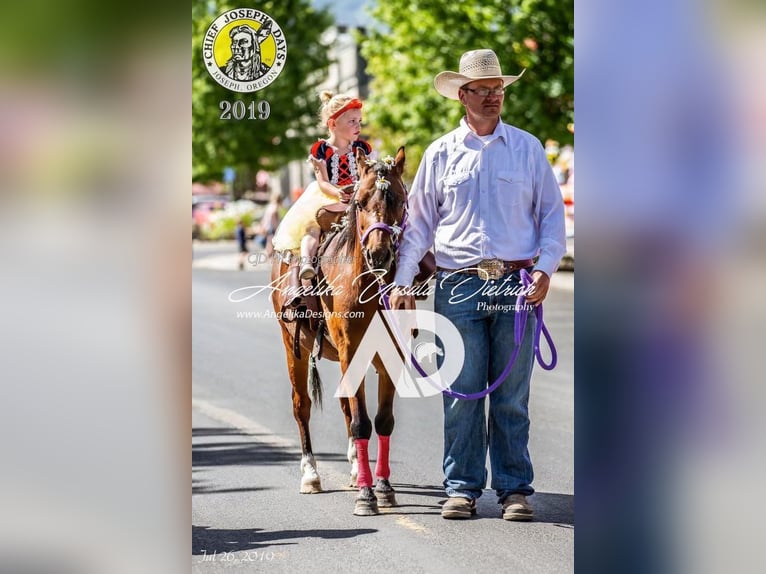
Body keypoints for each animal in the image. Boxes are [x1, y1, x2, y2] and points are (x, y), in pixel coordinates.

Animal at [272, 147, 412, 516]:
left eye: (400, 199)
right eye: (360, 203)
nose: (379, 254)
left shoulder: (389, 355)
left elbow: (382, 420)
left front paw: (383, 487)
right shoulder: (351, 349)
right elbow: (361, 421)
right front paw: (366, 496)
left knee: (346, 408)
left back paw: (353, 469)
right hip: (292, 346)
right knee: (302, 406)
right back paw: (311, 475)